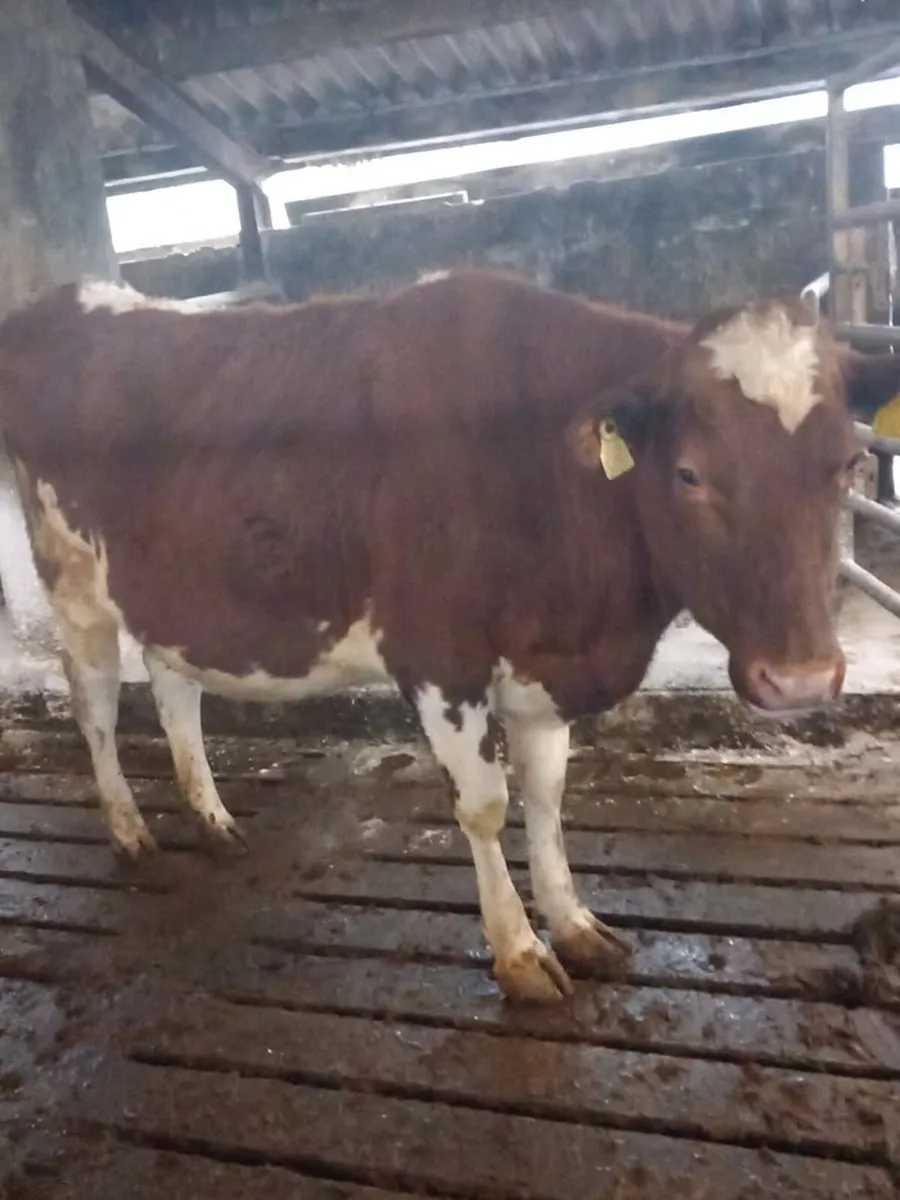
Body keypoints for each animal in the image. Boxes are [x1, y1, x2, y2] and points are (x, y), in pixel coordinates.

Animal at [0, 268, 896, 1005]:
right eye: (689, 475)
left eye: (847, 465)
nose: (802, 679)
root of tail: (65, 299)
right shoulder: (440, 658)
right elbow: (486, 806)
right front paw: (520, 955)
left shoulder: (541, 667)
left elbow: (548, 796)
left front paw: (574, 925)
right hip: (73, 580)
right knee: (95, 702)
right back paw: (131, 832)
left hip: (173, 589)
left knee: (175, 689)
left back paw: (212, 819)